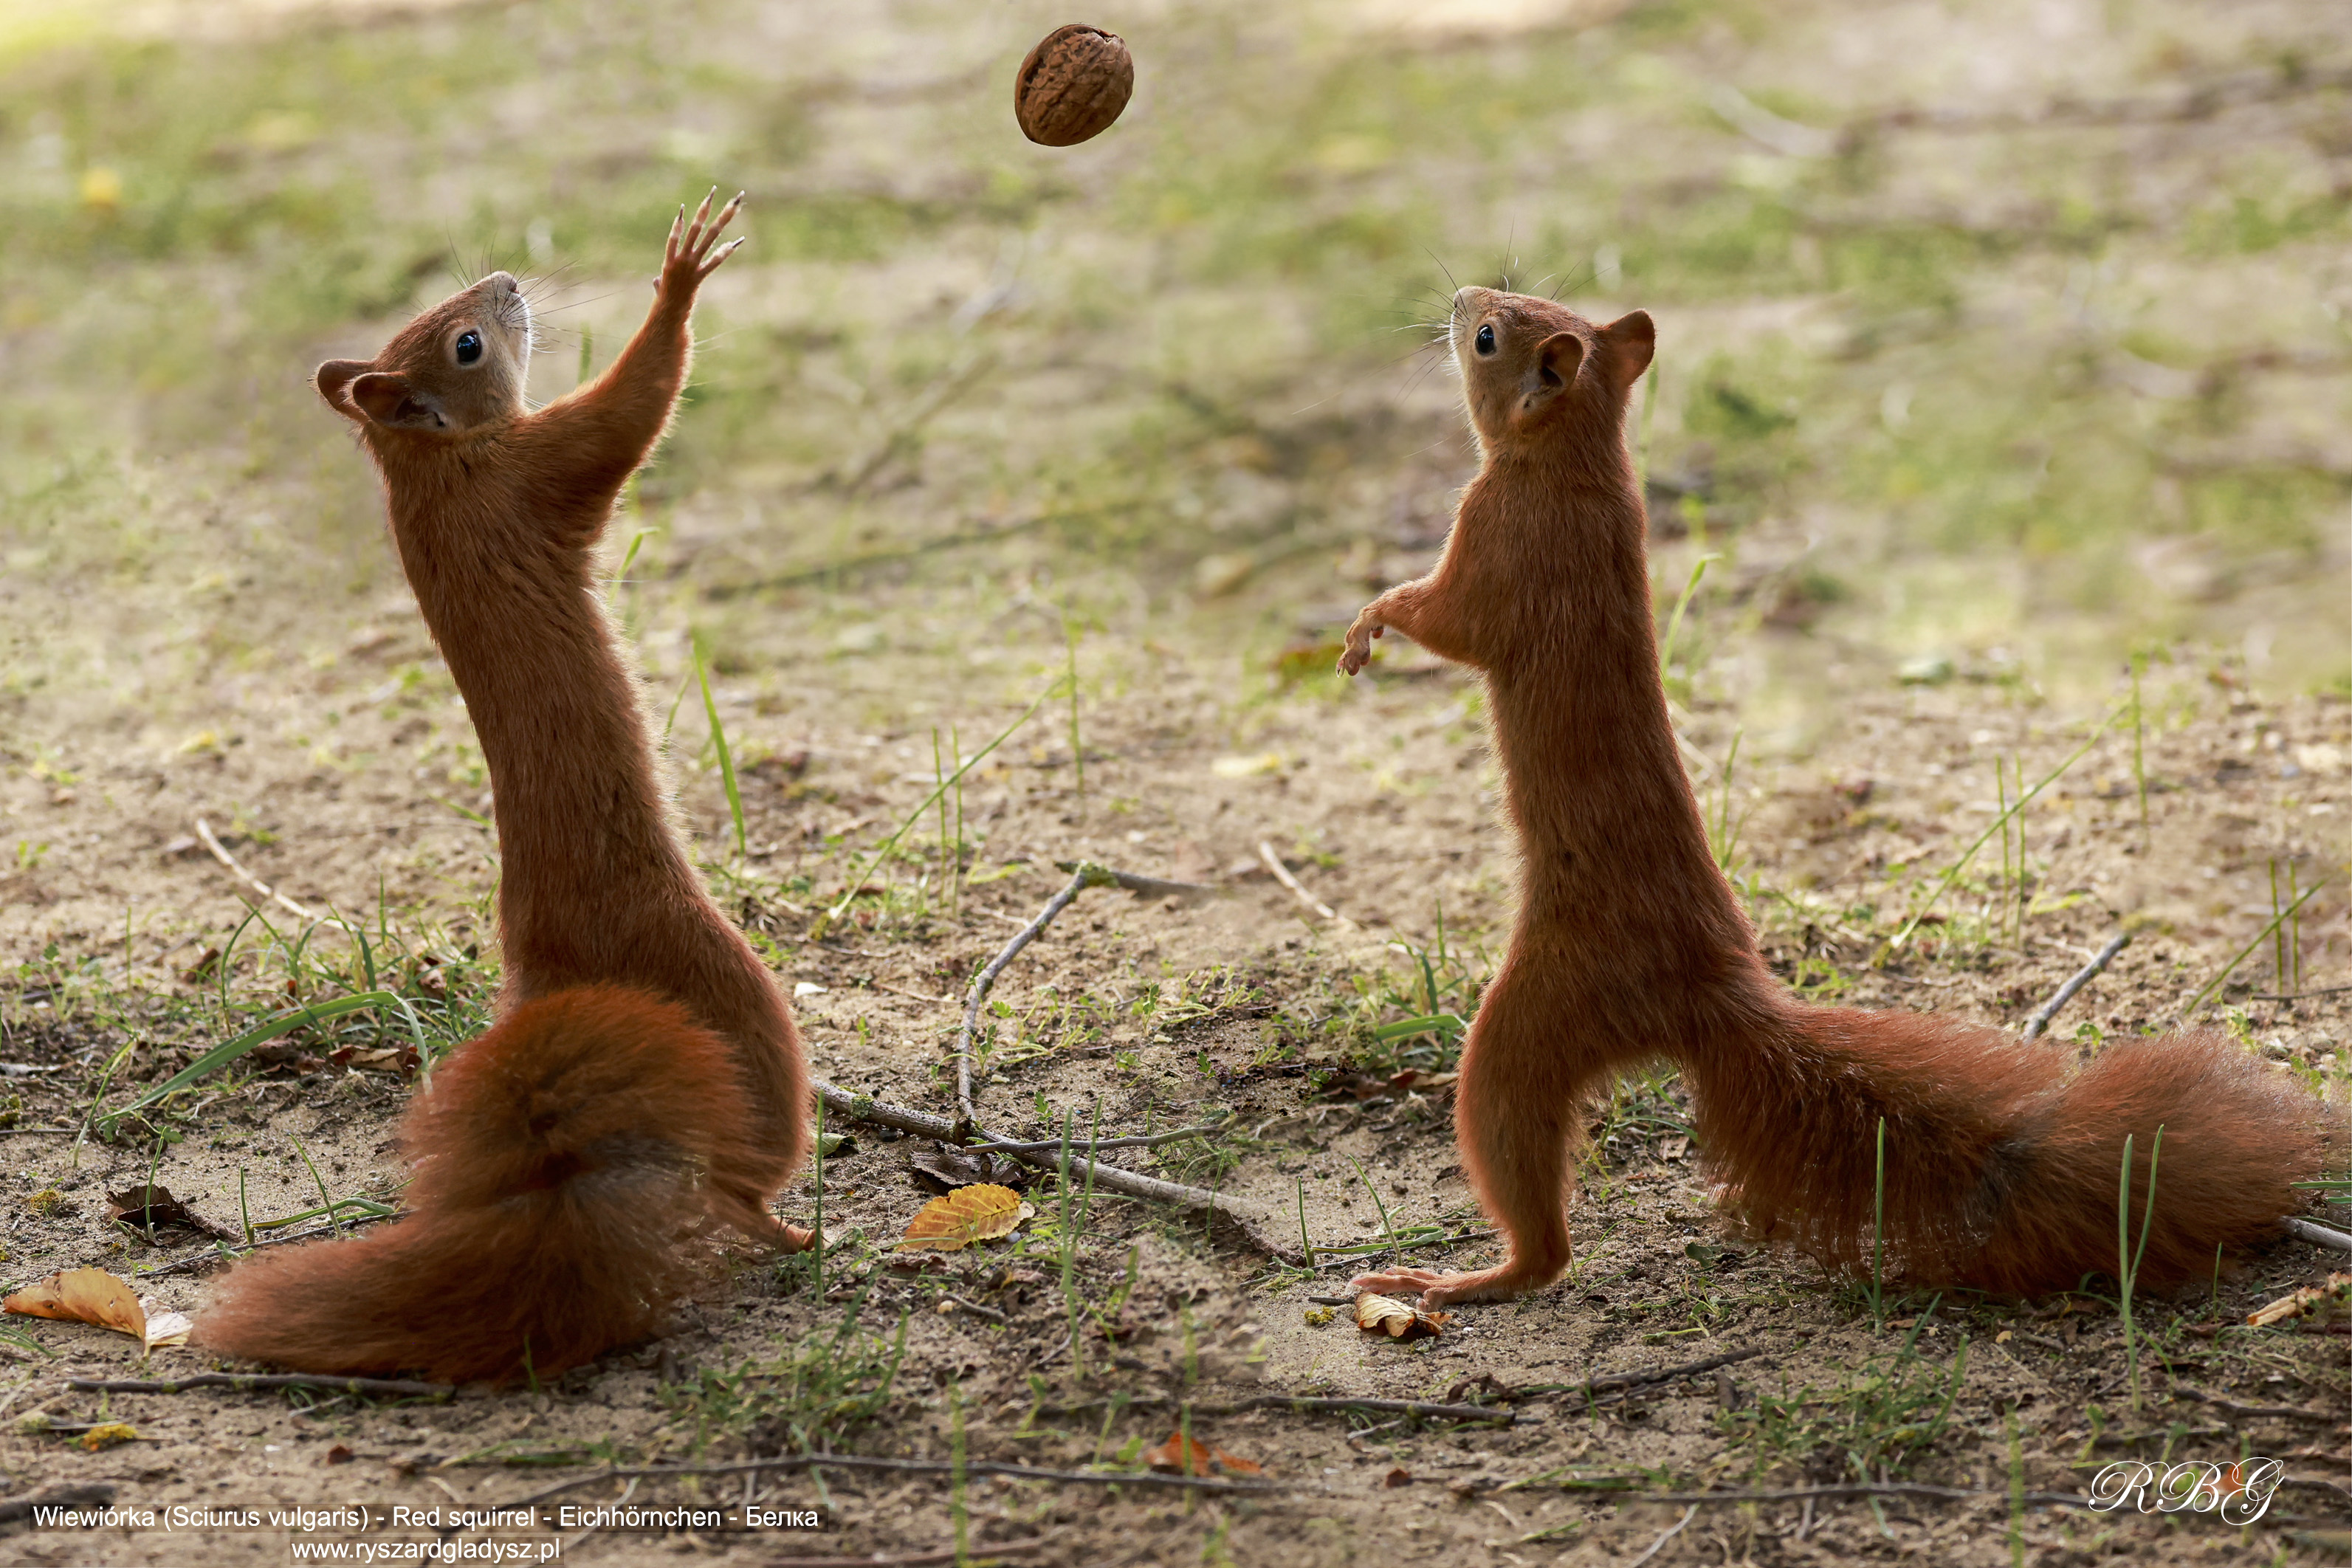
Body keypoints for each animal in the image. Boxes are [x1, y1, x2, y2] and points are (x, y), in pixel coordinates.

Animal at [197, 194, 813, 1383]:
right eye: (468, 343)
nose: (506, 280)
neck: (432, 467)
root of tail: (555, 970)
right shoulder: (543, 468)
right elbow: (634, 406)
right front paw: (679, 279)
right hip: (730, 994)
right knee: (738, 1171)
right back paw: (780, 1220)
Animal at [1339, 286, 2341, 1308]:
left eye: (1489, 336)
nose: (1458, 299)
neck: (1576, 466)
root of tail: (1711, 988)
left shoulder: (1496, 542)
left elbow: (1446, 620)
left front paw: (1369, 623)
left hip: (1530, 1022)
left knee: (1529, 1197)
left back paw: (1461, 1280)